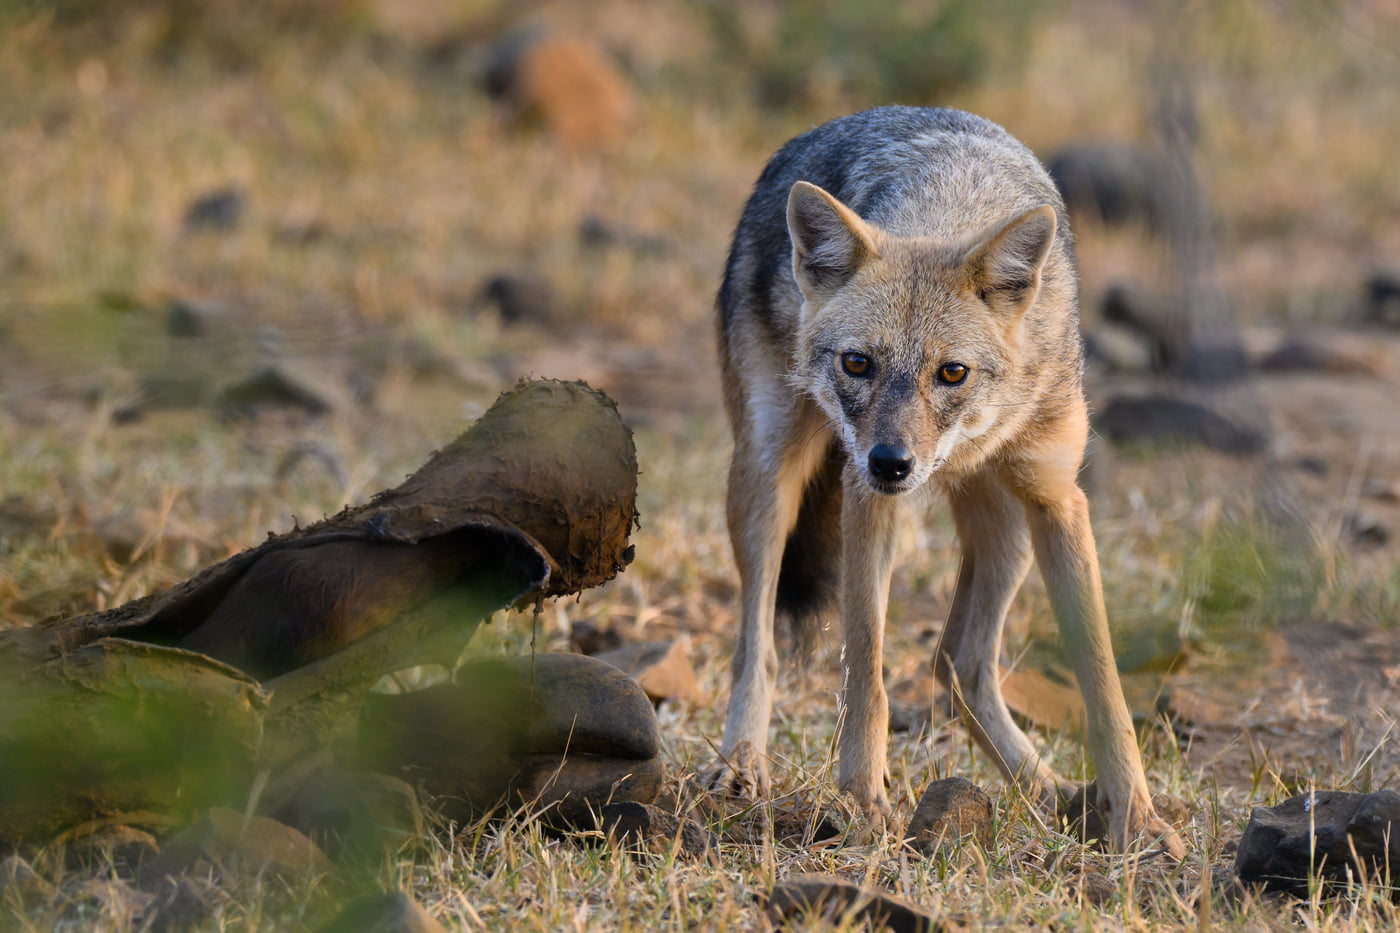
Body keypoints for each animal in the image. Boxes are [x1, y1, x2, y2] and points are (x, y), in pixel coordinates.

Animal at [709, 106, 1181, 855]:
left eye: (951, 372)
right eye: (858, 363)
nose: (891, 462)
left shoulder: (1058, 499)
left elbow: (1103, 685)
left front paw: (1136, 819)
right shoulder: (866, 502)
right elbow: (865, 669)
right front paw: (863, 800)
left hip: (1007, 529)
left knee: (957, 661)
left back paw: (1048, 791)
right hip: (767, 476)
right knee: (758, 645)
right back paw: (741, 764)